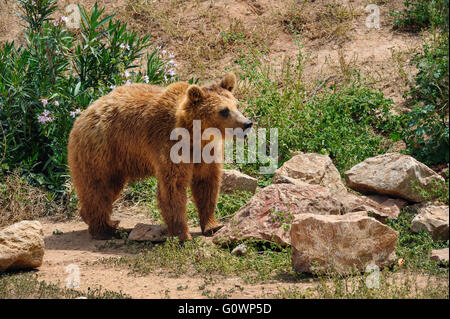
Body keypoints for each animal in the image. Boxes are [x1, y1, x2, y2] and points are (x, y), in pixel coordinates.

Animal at [67, 74, 251, 241]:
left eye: (237, 105)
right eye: (224, 111)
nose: (247, 123)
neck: (195, 136)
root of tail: (83, 113)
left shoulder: (205, 152)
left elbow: (206, 183)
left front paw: (213, 225)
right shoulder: (169, 145)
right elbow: (173, 188)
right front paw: (183, 235)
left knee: (109, 188)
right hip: (102, 151)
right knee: (98, 188)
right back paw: (106, 230)